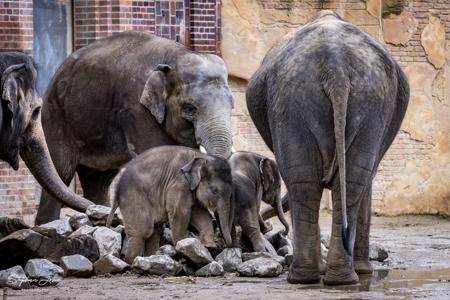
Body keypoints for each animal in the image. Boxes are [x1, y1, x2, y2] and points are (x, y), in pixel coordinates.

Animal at [37, 32, 234, 225]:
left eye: (232, 105)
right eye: (189, 108)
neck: (175, 55)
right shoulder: (136, 108)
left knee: (98, 180)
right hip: (55, 119)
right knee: (61, 172)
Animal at [244, 10, 410, 284]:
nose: (269, 228)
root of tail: (336, 67)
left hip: (314, 99)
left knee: (313, 182)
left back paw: (321, 277)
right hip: (306, 100)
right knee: (327, 182)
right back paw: (326, 278)